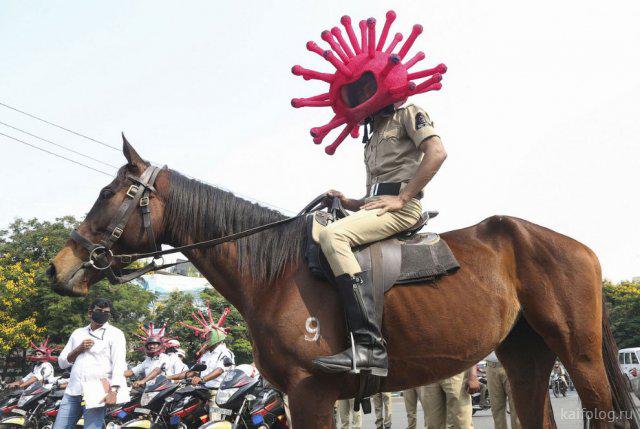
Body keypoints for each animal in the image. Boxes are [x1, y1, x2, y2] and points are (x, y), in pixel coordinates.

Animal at [48, 139, 636, 426]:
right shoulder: (305, 399)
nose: (58, 268)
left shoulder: (309, 394)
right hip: (525, 352)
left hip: (580, 356)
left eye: (109, 193)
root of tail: (578, 247)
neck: (274, 272)